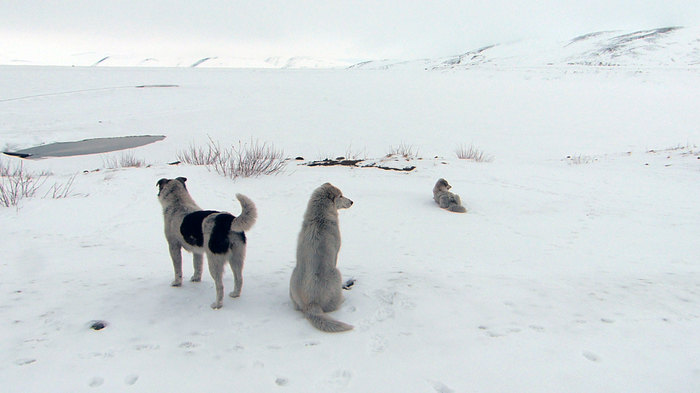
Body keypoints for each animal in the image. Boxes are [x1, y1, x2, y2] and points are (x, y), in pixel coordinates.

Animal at [156, 176, 258, 308]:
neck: (178, 203)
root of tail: (227, 220)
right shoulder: (197, 251)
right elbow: (197, 266)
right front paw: (196, 278)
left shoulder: (174, 246)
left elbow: (178, 268)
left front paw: (177, 283)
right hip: (236, 258)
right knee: (239, 278)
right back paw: (235, 294)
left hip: (214, 261)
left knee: (220, 286)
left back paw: (217, 304)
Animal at [292, 181, 356, 330]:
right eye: (340, 196)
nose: (352, 202)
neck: (319, 217)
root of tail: (311, 304)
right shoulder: (336, 252)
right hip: (336, 273)